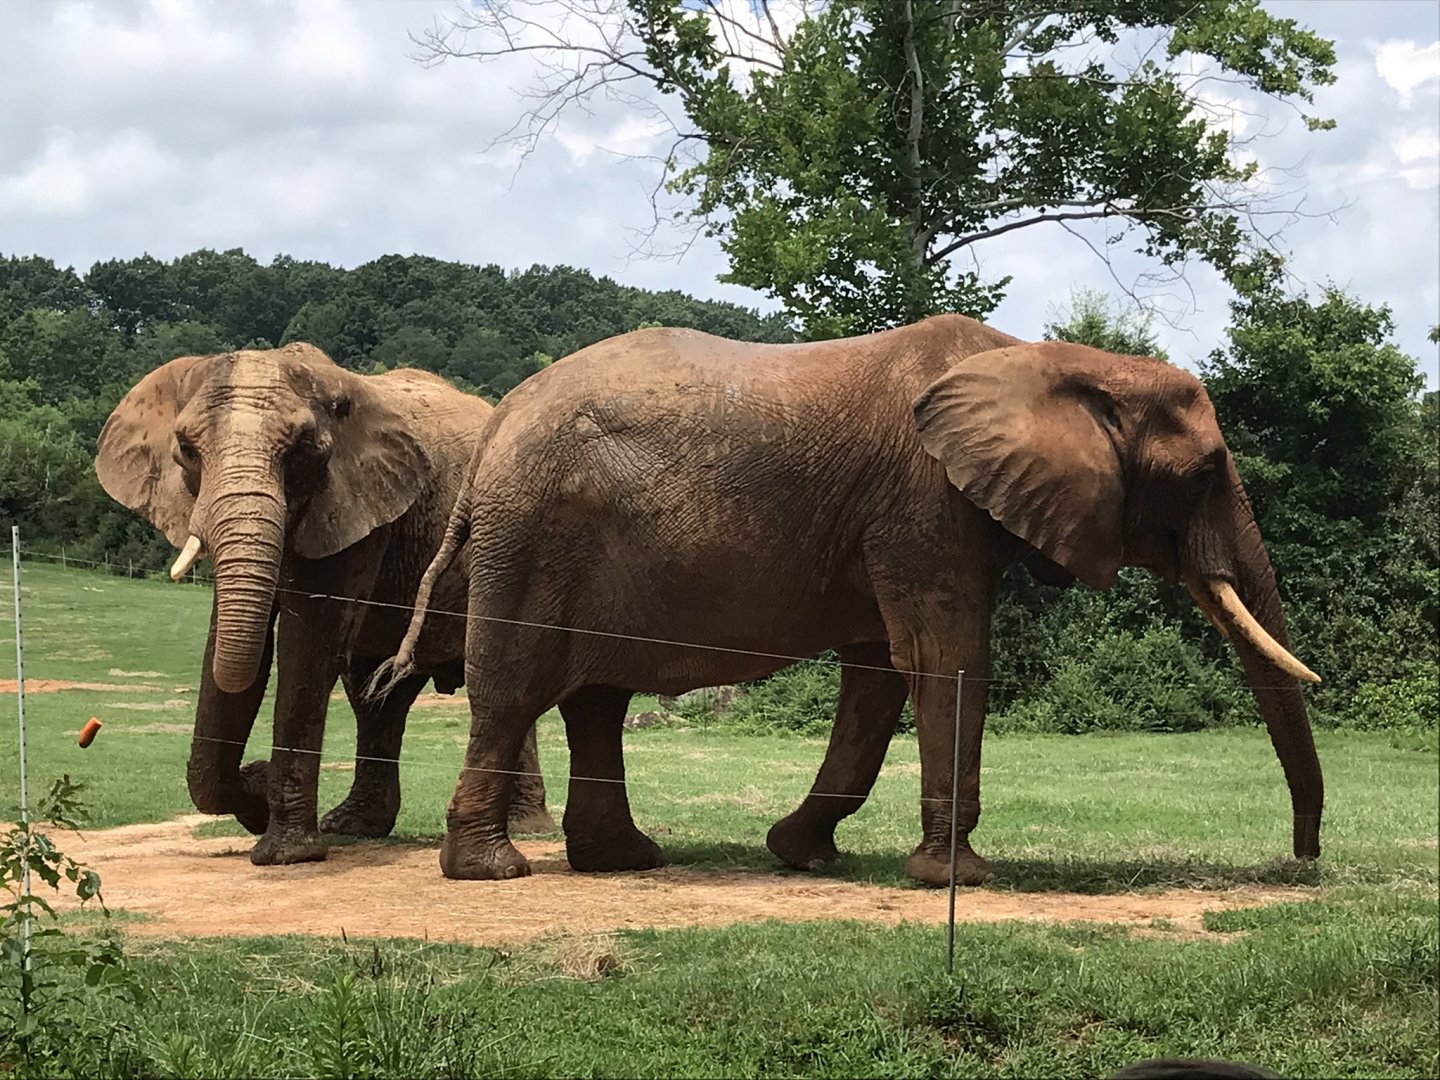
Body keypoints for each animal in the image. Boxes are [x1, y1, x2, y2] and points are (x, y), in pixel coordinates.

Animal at [95, 343, 556, 865]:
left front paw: (284, 853)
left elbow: (307, 645)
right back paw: (356, 825)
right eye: (187, 451)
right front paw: (258, 802)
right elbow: (237, 652)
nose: (255, 775)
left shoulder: (357, 507)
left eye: (302, 451)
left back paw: (526, 827)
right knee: (376, 697)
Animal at [376, 313, 1322, 885]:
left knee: (596, 701)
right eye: (1205, 472)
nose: (1303, 865)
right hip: (534, 532)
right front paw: (959, 880)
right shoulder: (924, 500)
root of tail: (496, 424)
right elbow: (944, 656)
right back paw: (494, 870)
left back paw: (626, 861)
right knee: (515, 689)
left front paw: (799, 855)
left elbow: (880, 676)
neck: (1042, 356)